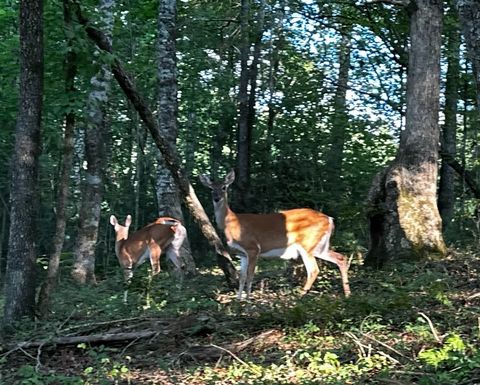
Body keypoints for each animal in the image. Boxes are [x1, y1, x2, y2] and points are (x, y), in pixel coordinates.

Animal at [200, 171, 352, 300]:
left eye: (224, 187)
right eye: (211, 188)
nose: (217, 198)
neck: (231, 221)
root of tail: (329, 219)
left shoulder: (253, 248)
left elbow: (250, 275)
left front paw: (248, 299)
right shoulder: (242, 254)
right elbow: (242, 277)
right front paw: (238, 299)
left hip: (307, 243)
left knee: (313, 270)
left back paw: (300, 296)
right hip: (319, 246)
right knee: (340, 258)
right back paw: (347, 294)